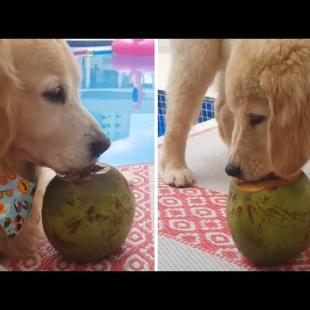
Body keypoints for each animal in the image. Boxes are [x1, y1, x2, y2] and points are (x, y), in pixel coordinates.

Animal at [160, 40, 310, 188]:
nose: (231, 170)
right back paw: (175, 168)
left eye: (257, 118)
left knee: (221, 108)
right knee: (177, 118)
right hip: (196, 58)